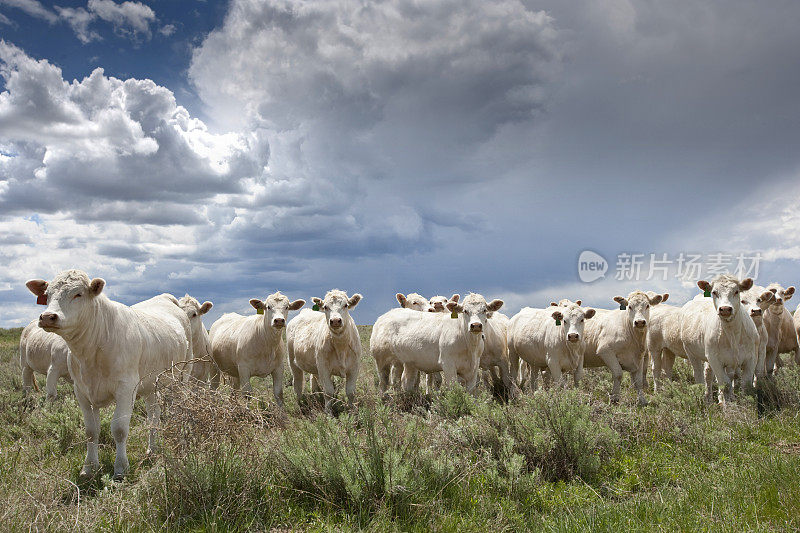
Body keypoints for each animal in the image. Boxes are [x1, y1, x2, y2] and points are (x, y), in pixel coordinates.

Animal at [26, 270, 191, 478]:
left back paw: (181, 443)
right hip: (150, 385)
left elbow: (119, 429)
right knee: (154, 415)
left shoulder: (126, 389)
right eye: (47, 295)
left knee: (179, 409)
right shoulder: (81, 390)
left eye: (78, 294)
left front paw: (120, 468)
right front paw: (89, 468)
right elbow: (91, 431)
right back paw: (152, 449)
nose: (48, 316)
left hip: (181, 377)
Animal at [368, 294, 500, 392]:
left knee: (401, 382)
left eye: (484, 310)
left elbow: (471, 391)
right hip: (381, 361)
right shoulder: (448, 365)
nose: (476, 325)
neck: (469, 345)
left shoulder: (473, 368)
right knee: (383, 383)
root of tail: (384, 316)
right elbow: (453, 389)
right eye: (465, 311)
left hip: (403, 363)